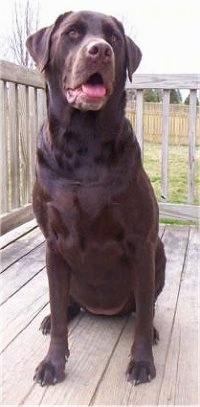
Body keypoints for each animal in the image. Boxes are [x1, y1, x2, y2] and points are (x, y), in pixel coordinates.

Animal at [26, 8, 166, 386]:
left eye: (113, 39)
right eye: (72, 34)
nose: (99, 50)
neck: (84, 140)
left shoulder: (141, 243)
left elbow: (143, 317)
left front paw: (142, 362)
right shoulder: (54, 244)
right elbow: (59, 312)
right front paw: (53, 363)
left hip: (158, 254)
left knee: (144, 307)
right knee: (65, 304)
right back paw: (52, 318)